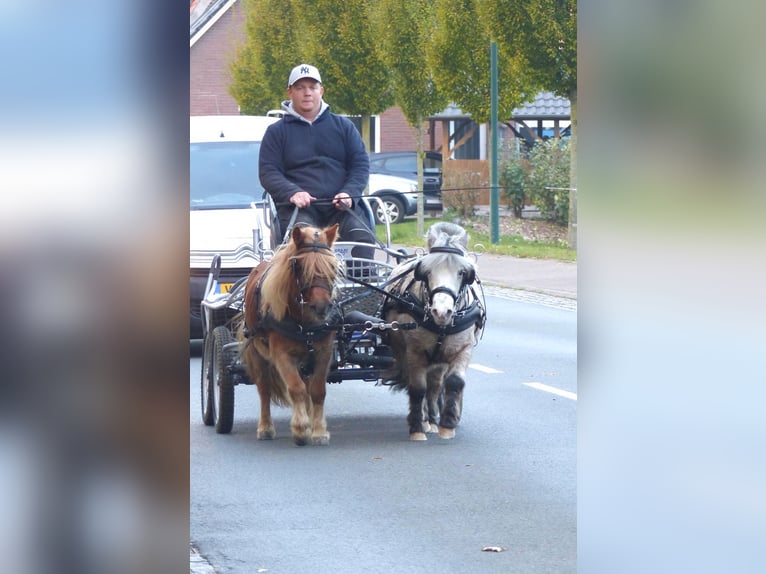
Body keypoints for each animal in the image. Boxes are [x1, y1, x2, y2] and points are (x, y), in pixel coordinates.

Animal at [242, 224, 340, 446]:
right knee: (264, 389)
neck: (305, 324)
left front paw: (318, 431)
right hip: (258, 353)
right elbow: (296, 388)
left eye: (332, 267)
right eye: (299, 267)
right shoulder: (282, 355)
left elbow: (317, 391)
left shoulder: (323, 353)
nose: (322, 307)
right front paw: (300, 429)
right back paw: (265, 427)